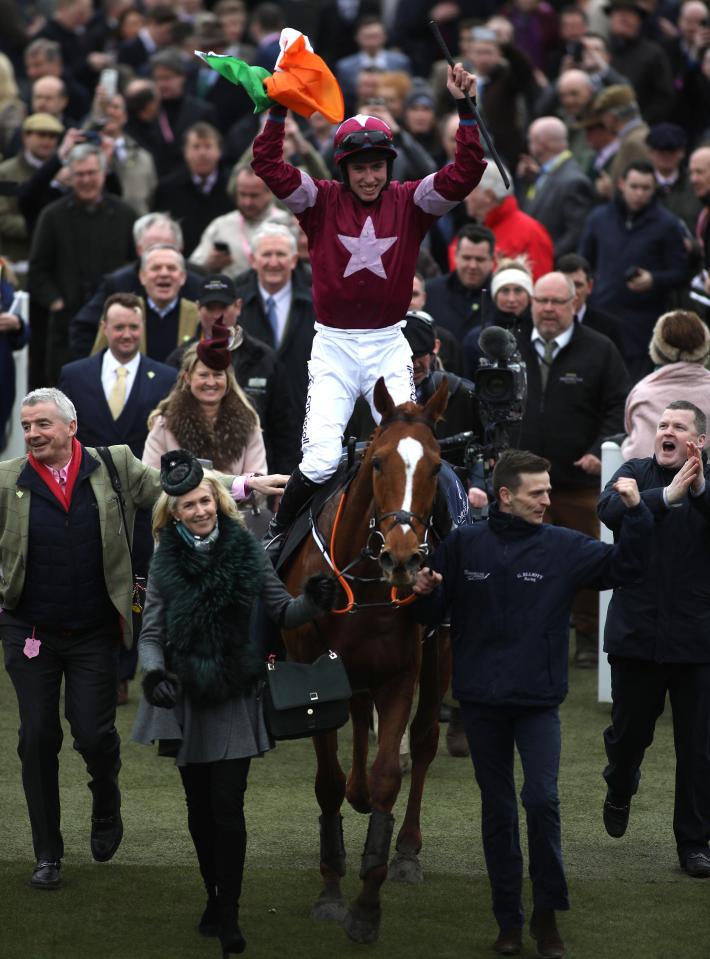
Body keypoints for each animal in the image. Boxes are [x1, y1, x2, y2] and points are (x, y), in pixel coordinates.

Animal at [282, 376, 454, 944]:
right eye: (378, 462)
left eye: (437, 467)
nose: (403, 558)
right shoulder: (313, 670)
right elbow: (329, 782)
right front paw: (331, 890)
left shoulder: (401, 673)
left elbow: (387, 778)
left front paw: (366, 905)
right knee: (357, 720)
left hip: (439, 654)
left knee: (424, 741)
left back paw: (407, 851)